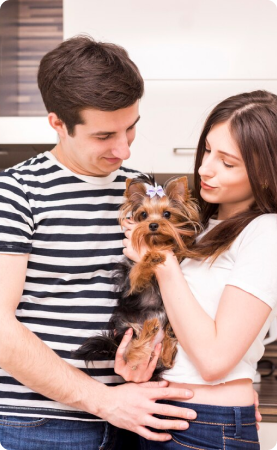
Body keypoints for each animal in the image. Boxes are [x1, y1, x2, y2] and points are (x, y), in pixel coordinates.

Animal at [72, 174, 199, 378]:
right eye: (144, 215)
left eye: (167, 214)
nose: (153, 225)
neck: (155, 242)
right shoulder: (131, 284)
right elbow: (138, 272)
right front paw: (150, 258)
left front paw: (177, 246)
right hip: (127, 330)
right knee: (130, 353)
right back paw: (149, 330)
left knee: (164, 359)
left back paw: (167, 339)